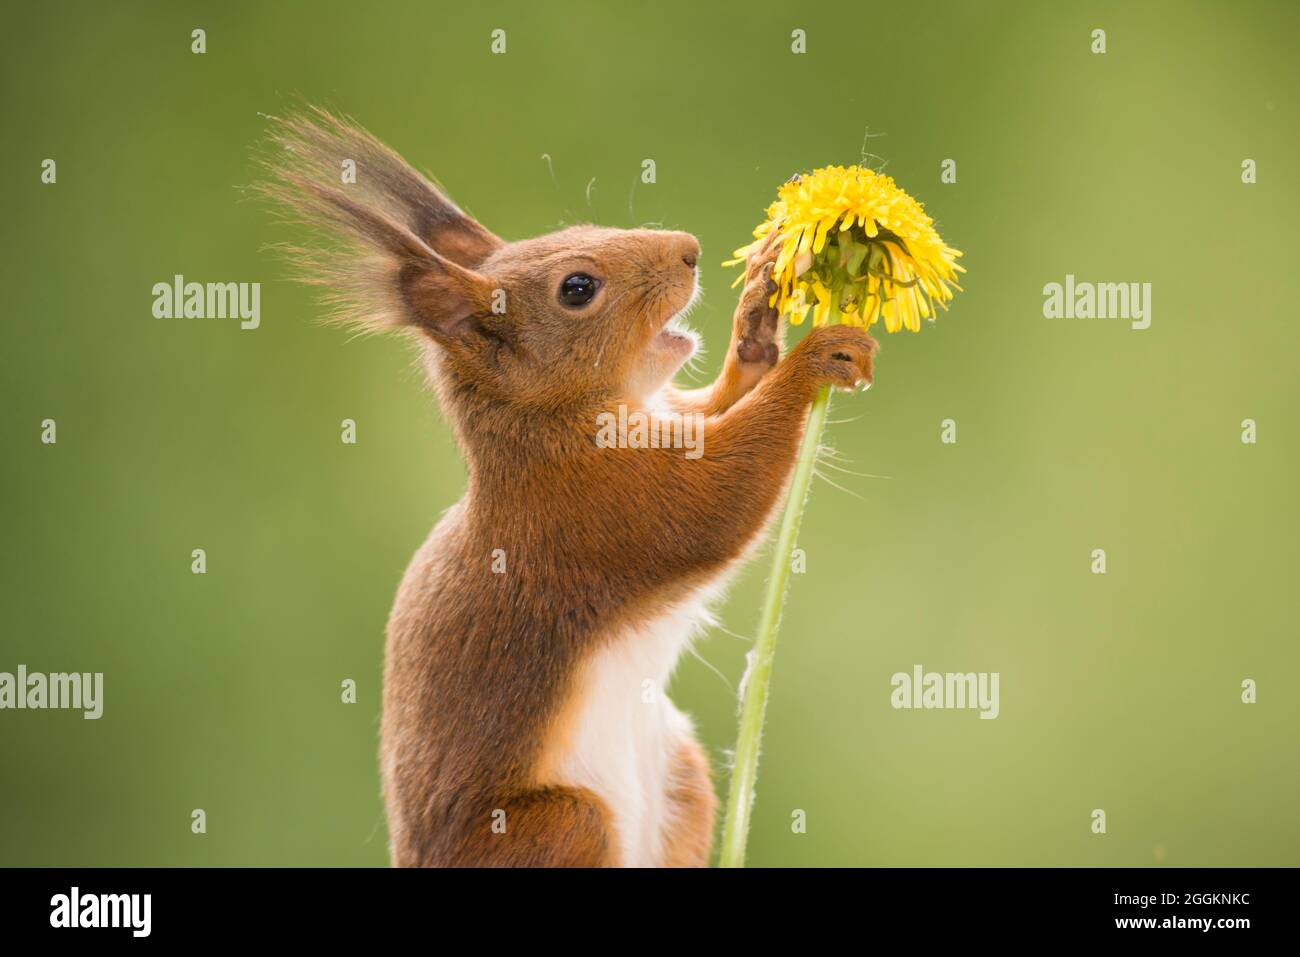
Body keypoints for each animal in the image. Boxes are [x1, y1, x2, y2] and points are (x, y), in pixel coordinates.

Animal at [259, 108, 876, 867]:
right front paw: (811, 361)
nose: (690, 250)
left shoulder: (665, 420)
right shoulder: (592, 504)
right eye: (577, 288)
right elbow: (716, 502)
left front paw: (759, 317)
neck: (547, 426)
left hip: (680, 771)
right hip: (560, 826)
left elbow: (712, 409)